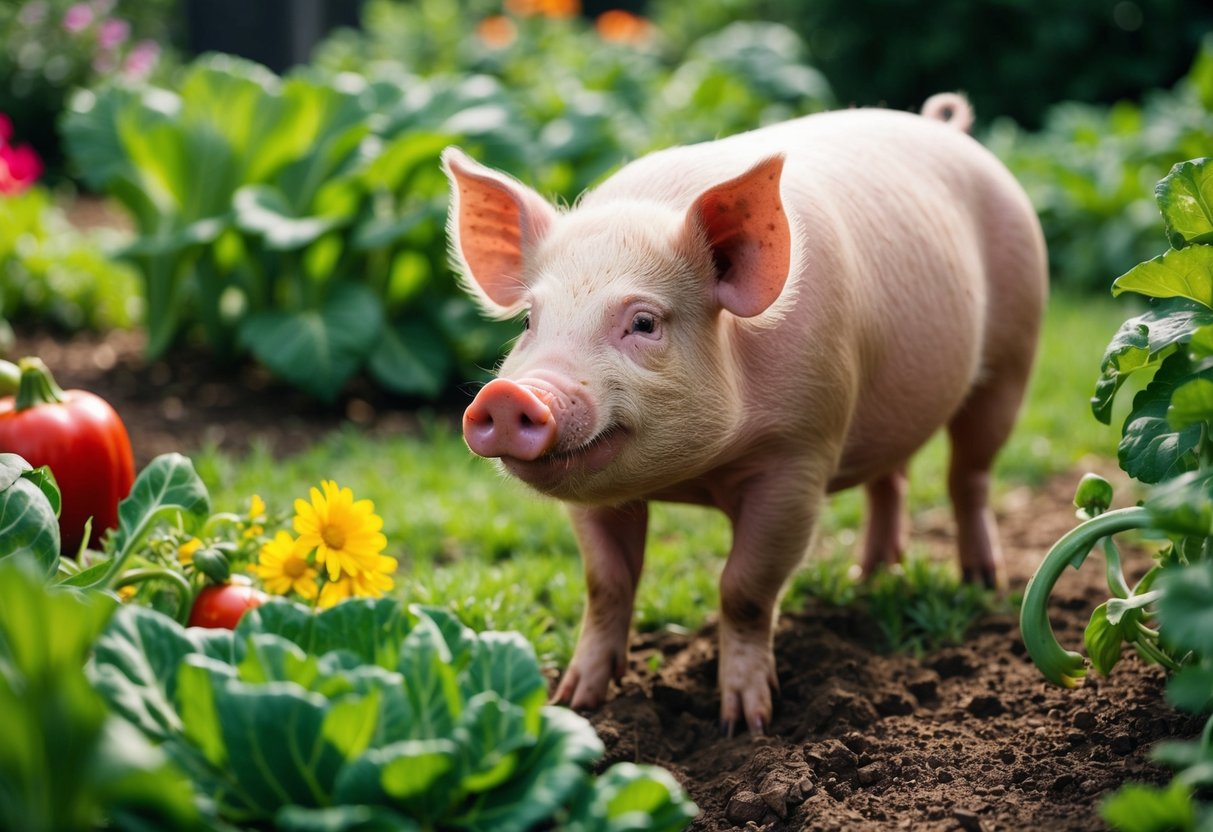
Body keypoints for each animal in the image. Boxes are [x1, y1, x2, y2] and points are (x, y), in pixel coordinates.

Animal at [442, 92, 1047, 736]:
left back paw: (983, 583)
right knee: (892, 479)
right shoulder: (596, 492)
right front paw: (575, 702)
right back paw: (870, 577)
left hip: (1013, 355)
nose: (510, 395)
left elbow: (744, 586)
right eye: (531, 320)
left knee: (968, 475)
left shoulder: (799, 456)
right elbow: (606, 582)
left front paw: (747, 723)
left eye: (644, 322)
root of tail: (945, 127)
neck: (696, 478)